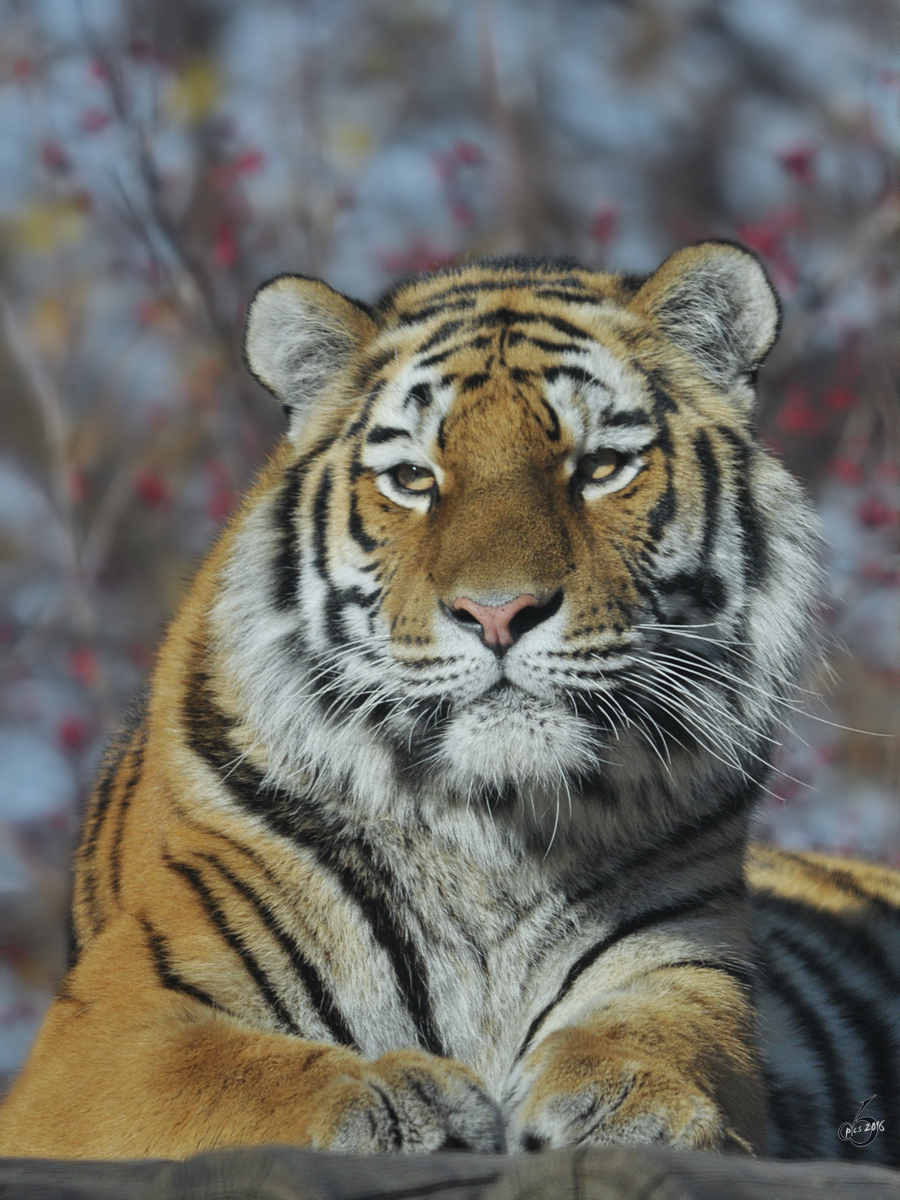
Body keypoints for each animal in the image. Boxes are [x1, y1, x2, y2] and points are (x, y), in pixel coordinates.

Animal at [1, 238, 900, 1166]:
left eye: (600, 468)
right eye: (412, 479)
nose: (498, 613)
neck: (497, 833)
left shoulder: (683, 964)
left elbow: (673, 1040)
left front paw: (630, 1098)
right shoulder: (106, 1033)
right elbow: (232, 1073)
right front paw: (397, 1097)